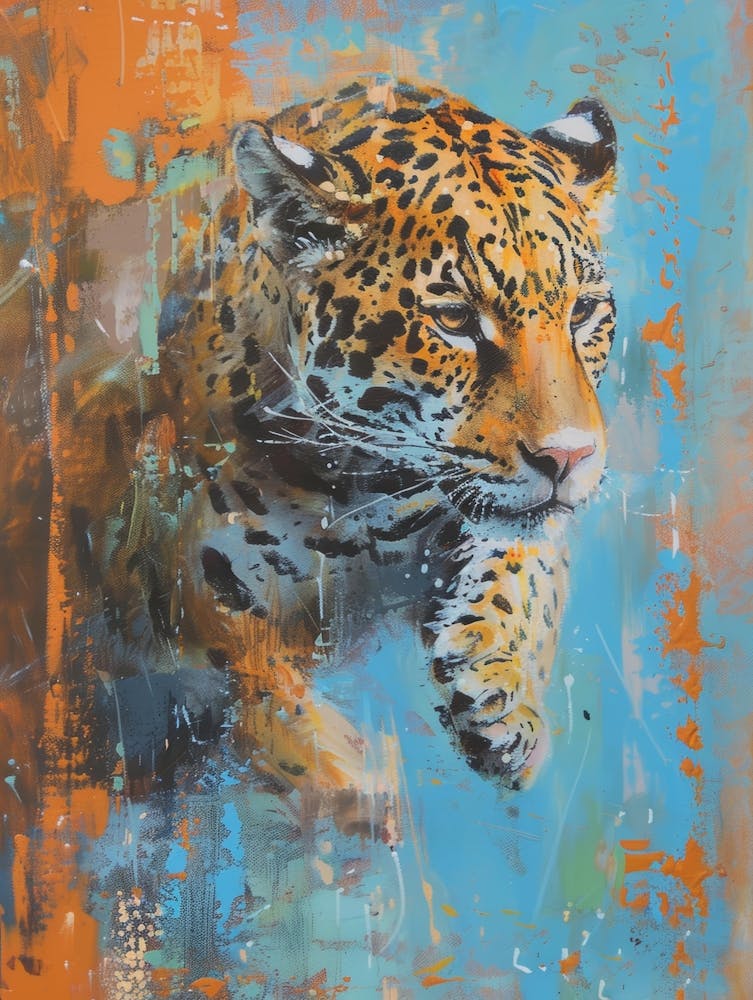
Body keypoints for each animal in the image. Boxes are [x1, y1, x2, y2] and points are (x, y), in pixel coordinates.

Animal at [64, 78, 617, 834]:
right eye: (453, 320)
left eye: (583, 311)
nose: (568, 457)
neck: (365, 487)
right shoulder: (178, 563)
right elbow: (256, 683)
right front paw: (355, 783)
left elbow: (516, 566)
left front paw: (499, 701)